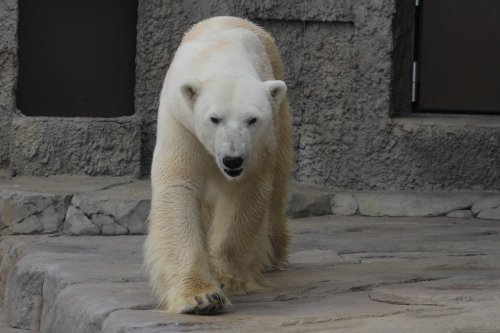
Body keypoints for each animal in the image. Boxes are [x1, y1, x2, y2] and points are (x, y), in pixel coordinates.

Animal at [145, 16, 292, 314]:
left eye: (252, 119)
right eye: (214, 118)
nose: (232, 159)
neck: (222, 57)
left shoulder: (259, 143)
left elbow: (246, 193)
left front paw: (228, 279)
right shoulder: (181, 122)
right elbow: (179, 186)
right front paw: (201, 298)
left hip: (279, 111)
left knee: (277, 186)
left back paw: (275, 255)